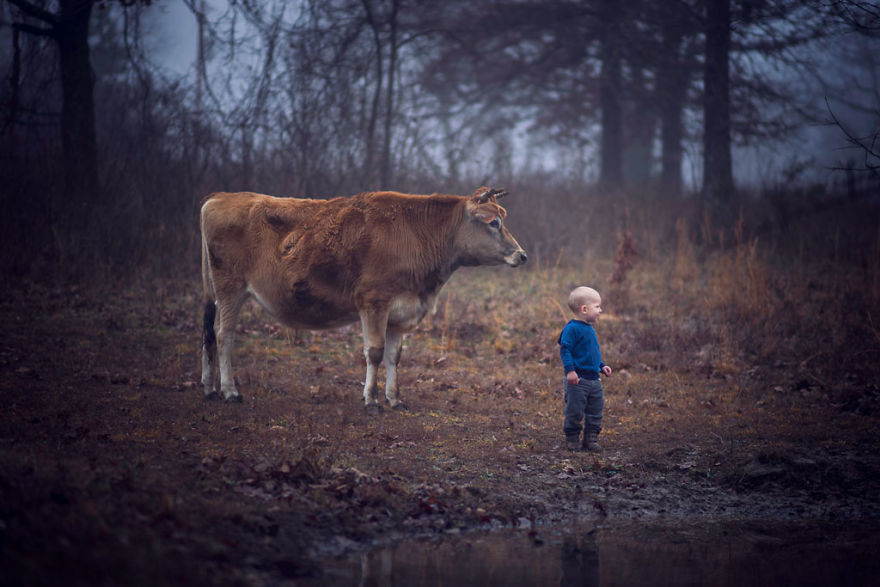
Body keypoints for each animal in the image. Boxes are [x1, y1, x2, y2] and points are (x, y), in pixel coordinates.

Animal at [202, 187, 524, 408]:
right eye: (493, 222)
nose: (521, 254)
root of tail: (219, 197)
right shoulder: (373, 302)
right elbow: (375, 352)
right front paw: (371, 399)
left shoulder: (401, 311)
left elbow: (395, 356)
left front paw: (394, 398)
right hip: (230, 288)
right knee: (224, 334)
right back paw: (230, 391)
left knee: (208, 333)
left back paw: (209, 388)